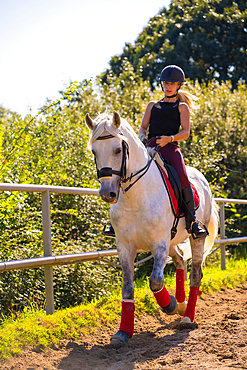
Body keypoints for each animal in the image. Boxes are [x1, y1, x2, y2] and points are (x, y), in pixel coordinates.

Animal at [85, 111, 218, 346]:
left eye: (118, 149)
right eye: (94, 151)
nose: (107, 193)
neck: (136, 196)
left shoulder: (159, 244)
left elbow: (155, 281)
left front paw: (169, 305)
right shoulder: (125, 247)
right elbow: (128, 287)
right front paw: (123, 332)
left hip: (195, 238)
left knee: (195, 274)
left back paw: (186, 316)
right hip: (173, 241)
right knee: (180, 261)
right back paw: (181, 304)